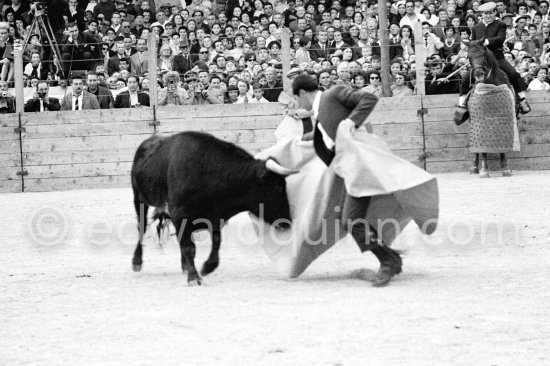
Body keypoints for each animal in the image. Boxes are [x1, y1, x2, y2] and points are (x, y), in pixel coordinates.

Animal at [131, 132, 296, 286]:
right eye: (278, 187)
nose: (288, 221)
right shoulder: (180, 215)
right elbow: (189, 247)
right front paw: (194, 277)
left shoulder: (214, 216)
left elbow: (216, 242)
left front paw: (207, 267)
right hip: (139, 198)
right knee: (142, 227)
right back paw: (137, 261)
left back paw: (184, 266)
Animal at [468, 40, 520, 177]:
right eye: (468, 57)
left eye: (484, 54)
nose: (478, 75)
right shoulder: (480, 121)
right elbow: (483, 148)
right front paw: (484, 170)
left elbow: (502, 145)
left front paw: (505, 168)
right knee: (475, 146)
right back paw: (474, 167)